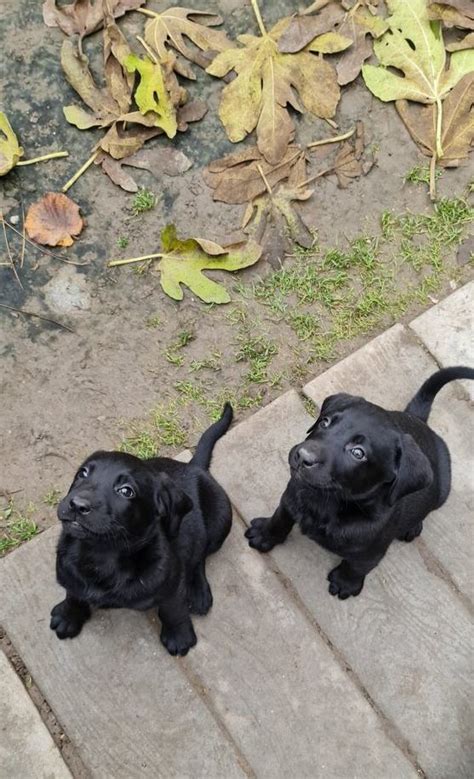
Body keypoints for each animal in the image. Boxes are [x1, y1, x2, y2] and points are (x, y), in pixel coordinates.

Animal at [51, 406, 233, 656]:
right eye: (83, 473)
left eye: (126, 491)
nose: (77, 505)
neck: (102, 553)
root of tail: (194, 466)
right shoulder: (70, 573)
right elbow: (74, 593)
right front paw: (69, 615)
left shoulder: (170, 586)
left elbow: (172, 610)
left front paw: (179, 635)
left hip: (220, 522)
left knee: (200, 555)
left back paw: (198, 591)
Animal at [246, 368, 472, 600]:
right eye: (324, 422)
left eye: (358, 453)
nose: (302, 456)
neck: (327, 501)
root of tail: (419, 420)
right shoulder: (291, 497)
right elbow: (280, 518)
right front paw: (264, 534)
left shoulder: (372, 550)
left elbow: (357, 567)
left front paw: (345, 583)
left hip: (442, 490)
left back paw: (413, 526)